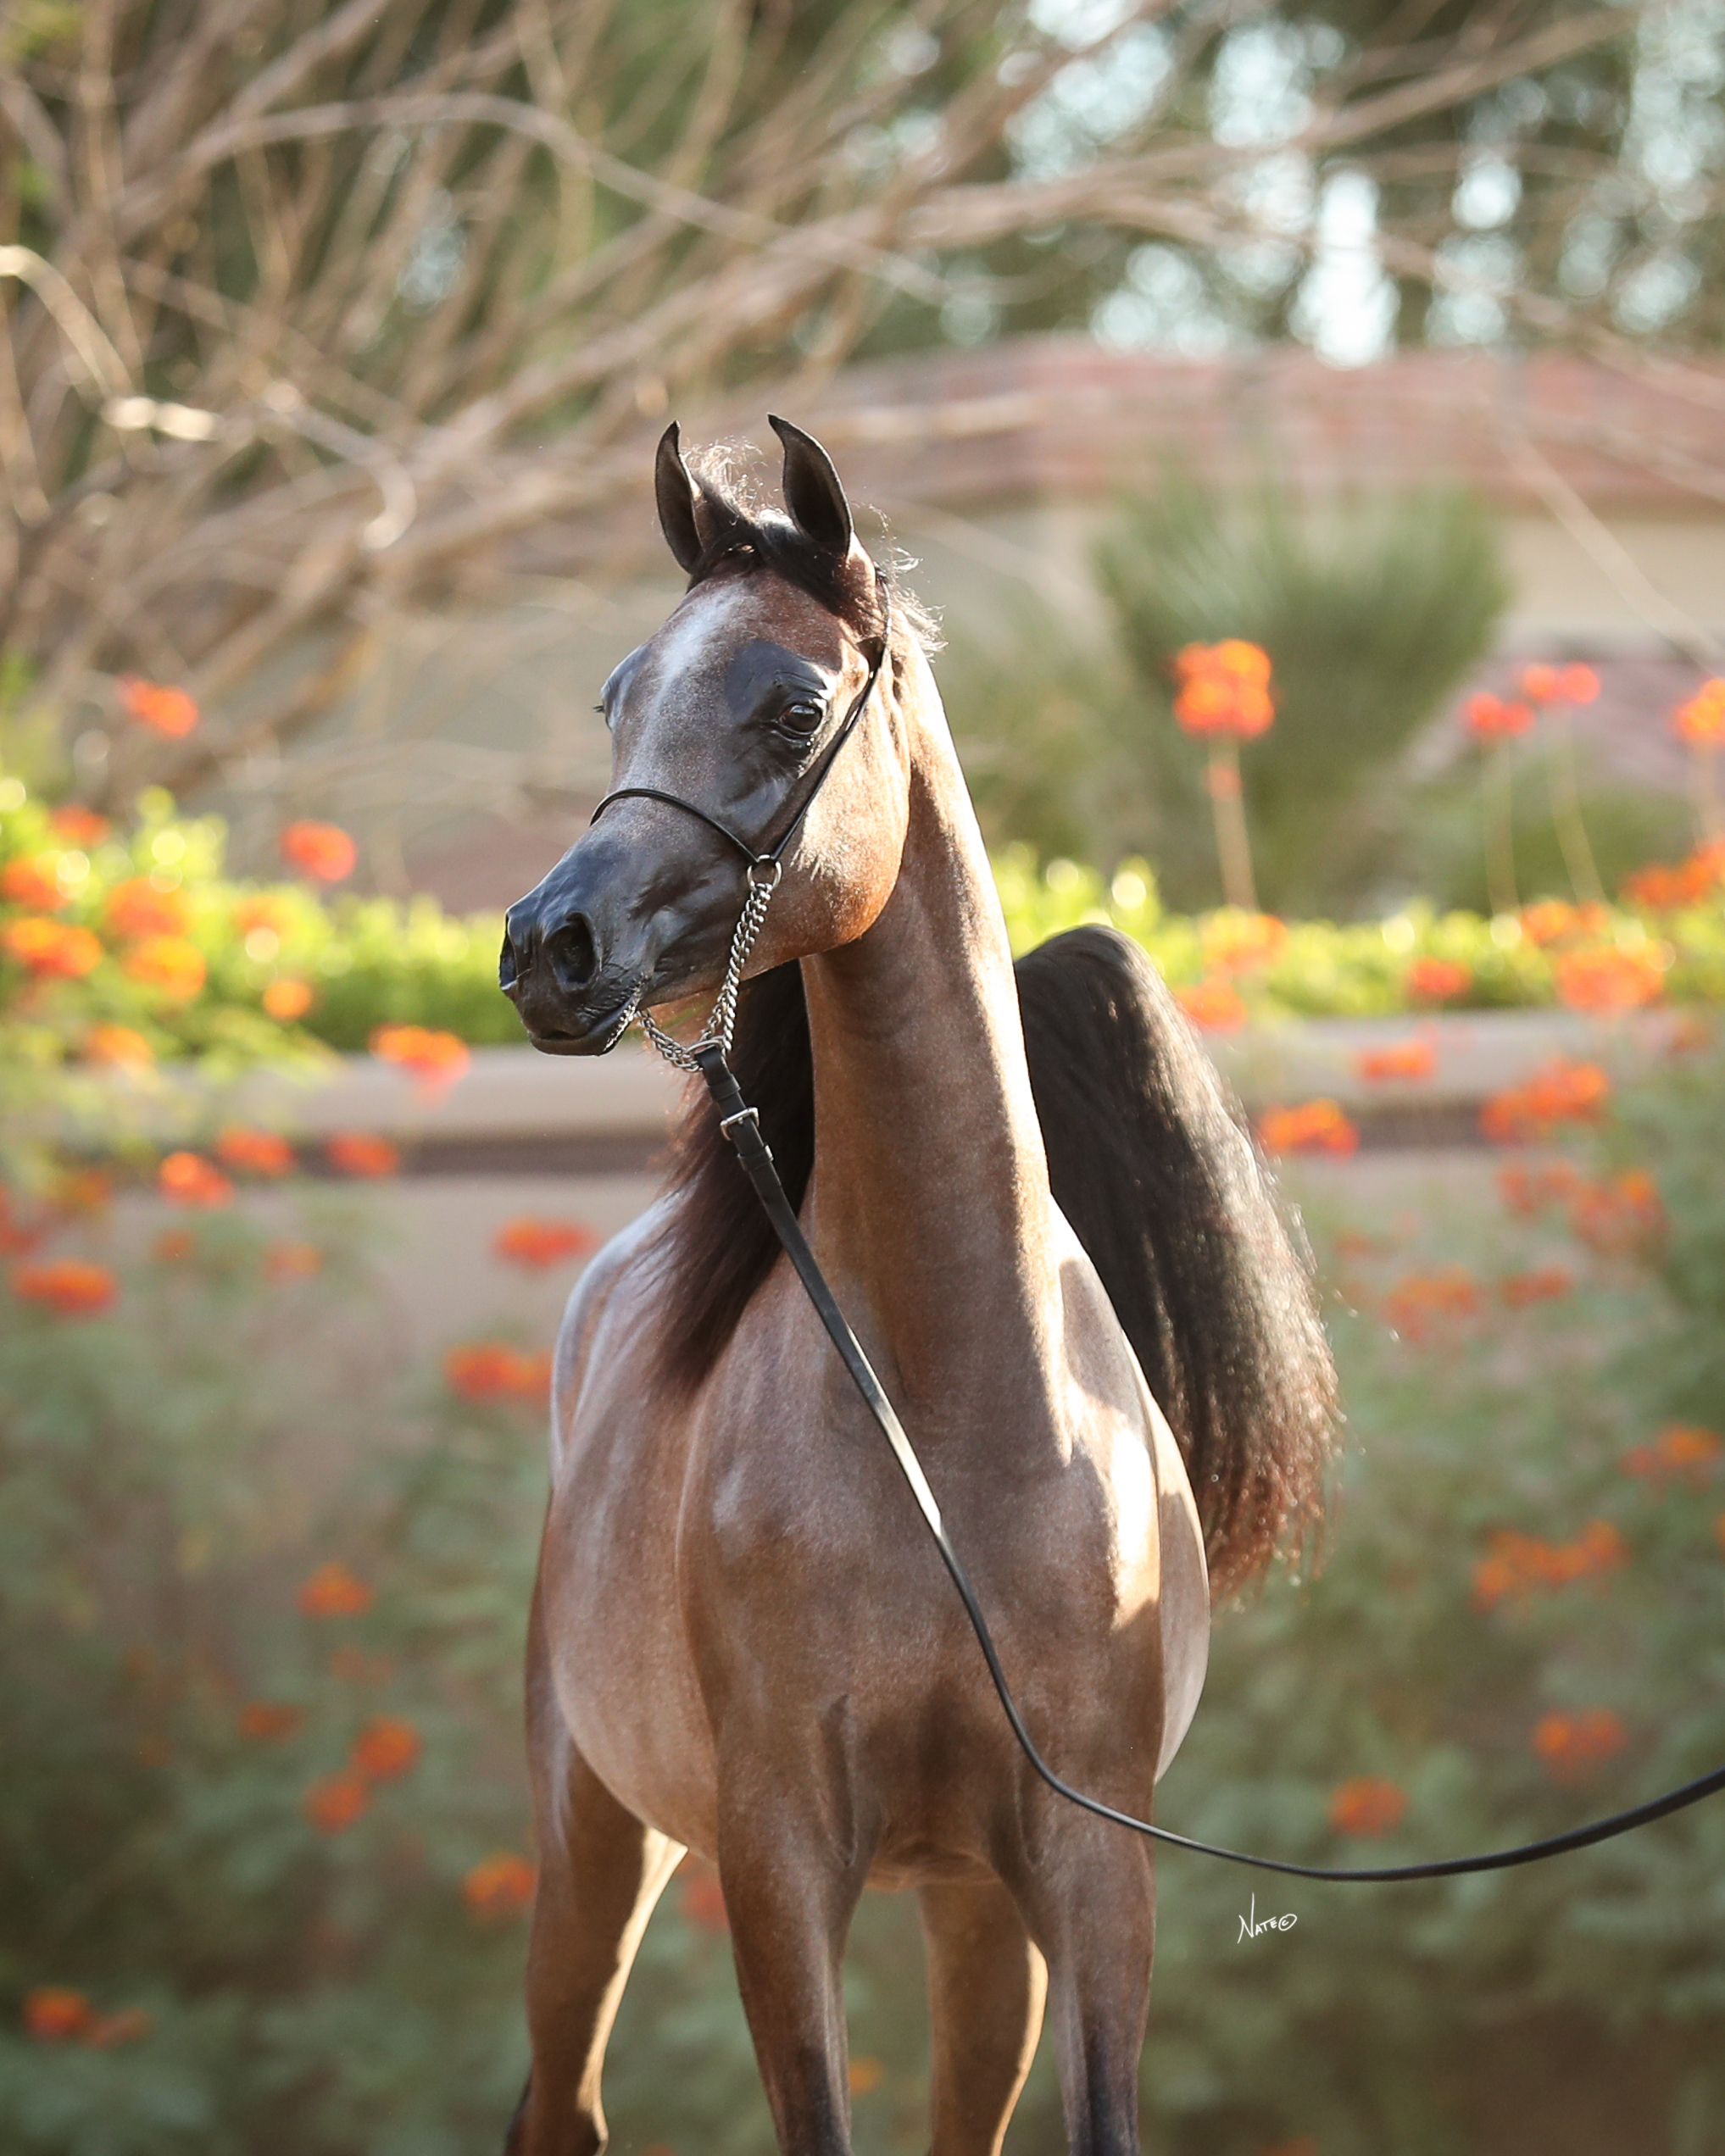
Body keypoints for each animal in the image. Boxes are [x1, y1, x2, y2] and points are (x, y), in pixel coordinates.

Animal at [498, 415, 1334, 2156]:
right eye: (616, 695)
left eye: (790, 705)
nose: (550, 943)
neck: (946, 1408)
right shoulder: (778, 1863)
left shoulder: (1085, 1864)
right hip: (591, 1832)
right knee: (562, 2101)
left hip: (967, 1906)